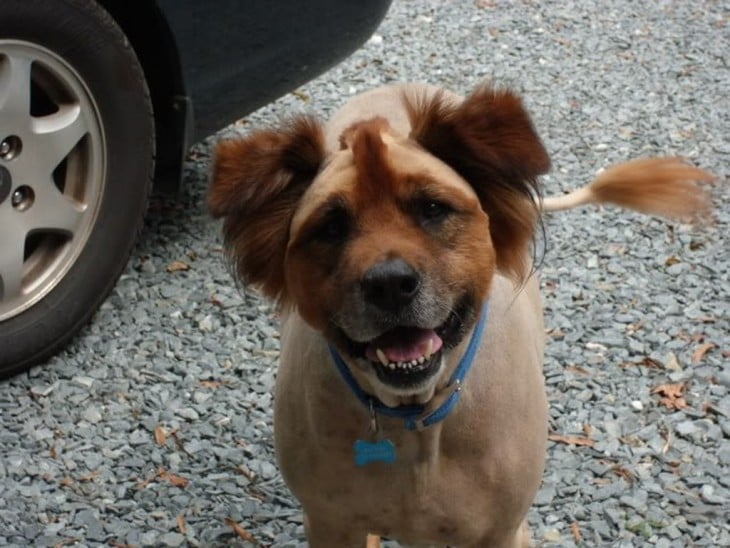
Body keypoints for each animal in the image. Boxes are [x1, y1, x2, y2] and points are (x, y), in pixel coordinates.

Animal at [206, 82, 712, 548]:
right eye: (331, 227)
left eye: (433, 208)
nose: (389, 284)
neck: (413, 420)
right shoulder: (331, 524)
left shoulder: (501, 531)